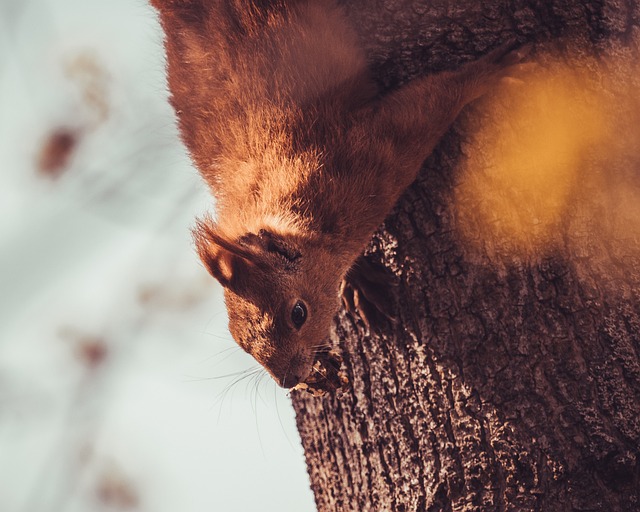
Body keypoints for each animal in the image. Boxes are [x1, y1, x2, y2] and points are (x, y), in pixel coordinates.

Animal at [150, 0, 528, 388]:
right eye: (241, 342)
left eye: (298, 313)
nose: (289, 381)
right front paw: (356, 283)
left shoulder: (368, 156)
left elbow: (432, 104)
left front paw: (487, 72)